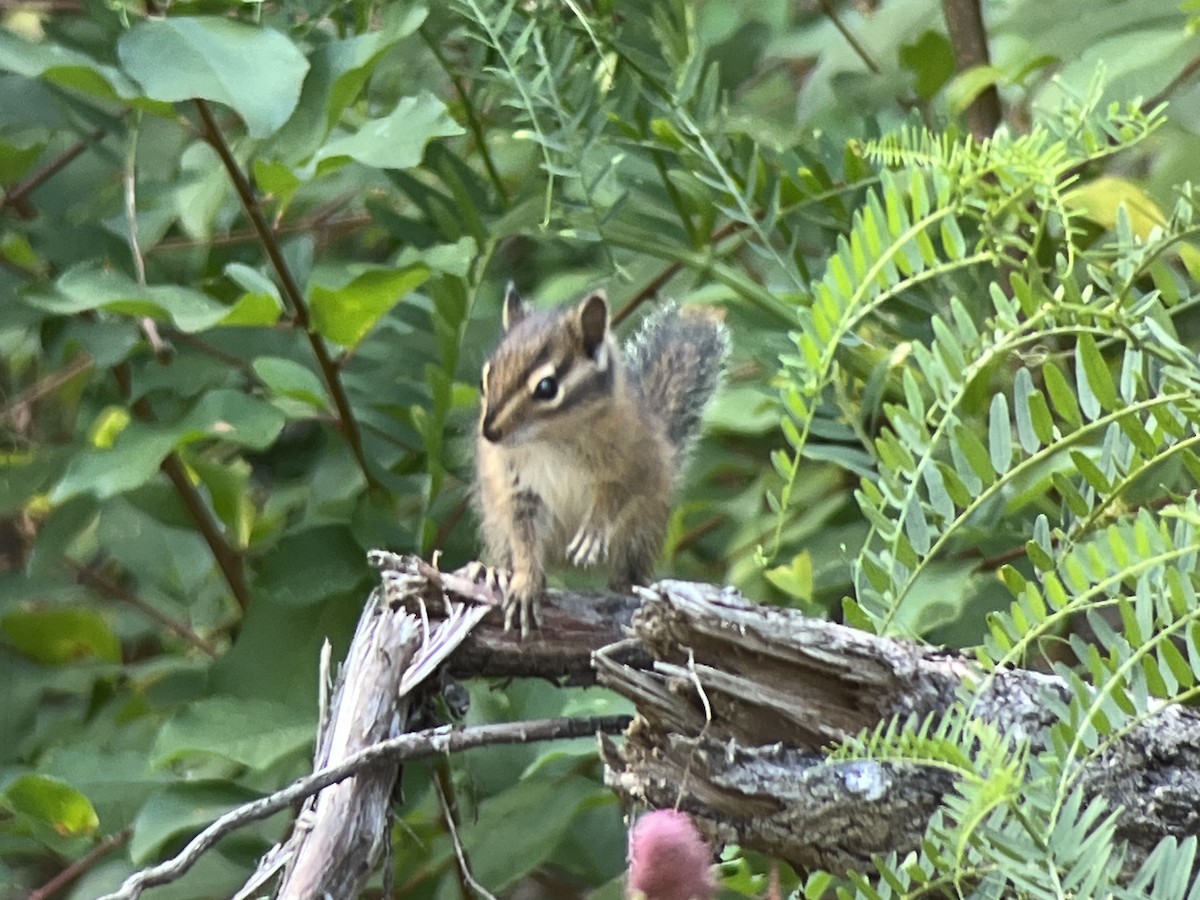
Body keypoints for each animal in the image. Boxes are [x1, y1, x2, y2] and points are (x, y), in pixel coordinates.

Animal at [473, 283, 730, 636]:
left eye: (547, 387)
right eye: (486, 376)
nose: (490, 432)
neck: (551, 439)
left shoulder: (634, 462)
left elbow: (615, 495)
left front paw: (593, 534)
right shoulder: (513, 483)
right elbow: (523, 536)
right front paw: (524, 582)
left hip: (640, 533)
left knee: (628, 572)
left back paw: (629, 588)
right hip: (495, 524)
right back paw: (496, 570)